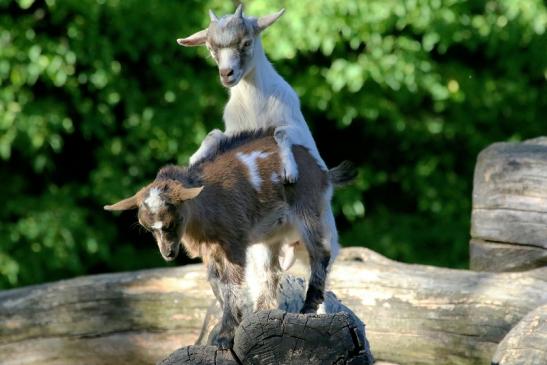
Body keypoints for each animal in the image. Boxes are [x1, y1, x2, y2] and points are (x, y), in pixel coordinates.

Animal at [105, 129, 358, 348]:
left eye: (173, 221)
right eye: (148, 228)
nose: (168, 253)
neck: (205, 206)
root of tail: (322, 172)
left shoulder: (233, 241)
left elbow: (232, 285)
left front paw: (225, 337)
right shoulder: (210, 251)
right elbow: (217, 285)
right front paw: (229, 328)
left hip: (307, 209)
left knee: (320, 254)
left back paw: (307, 308)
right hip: (272, 234)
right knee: (271, 271)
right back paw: (260, 313)